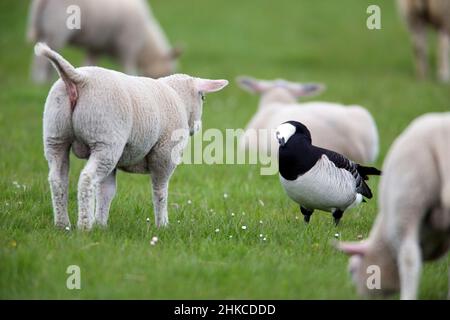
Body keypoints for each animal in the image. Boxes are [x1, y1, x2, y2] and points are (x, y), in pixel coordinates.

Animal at [26, 0, 180, 82]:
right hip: (56, 29)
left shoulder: (95, 46)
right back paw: (39, 81)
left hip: (45, 29)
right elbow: (129, 66)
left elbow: (90, 62)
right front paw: (132, 77)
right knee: (41, 59)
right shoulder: (128, 44)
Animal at [34, 43, 229, 231]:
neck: (178, 97)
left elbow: (106, 191)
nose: (198, 127)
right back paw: (84, 225)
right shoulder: (164, 155)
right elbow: (160, 191)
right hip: (106, 141)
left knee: (58, 179)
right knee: (87, 179)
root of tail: (79, 78)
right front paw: (163, 225)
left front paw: (101, 224)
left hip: (56, 137)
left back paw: (63, 224)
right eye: (203, 98)